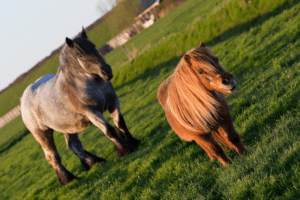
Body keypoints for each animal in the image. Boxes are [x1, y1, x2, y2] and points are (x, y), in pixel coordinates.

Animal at [21, 27, 141, 184]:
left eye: (93, 47)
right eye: (80, 55)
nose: (107, 72)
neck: (91, 83)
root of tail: (23, 98)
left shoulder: (113, 102)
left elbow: (120, 123)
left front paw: (133, 143)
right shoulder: (92, 113)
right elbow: (109, 130)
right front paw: (124, 150)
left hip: (68, 125)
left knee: (73, 145)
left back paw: (94, 162)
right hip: (42, 133)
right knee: (52, 157)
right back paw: (67, 179)